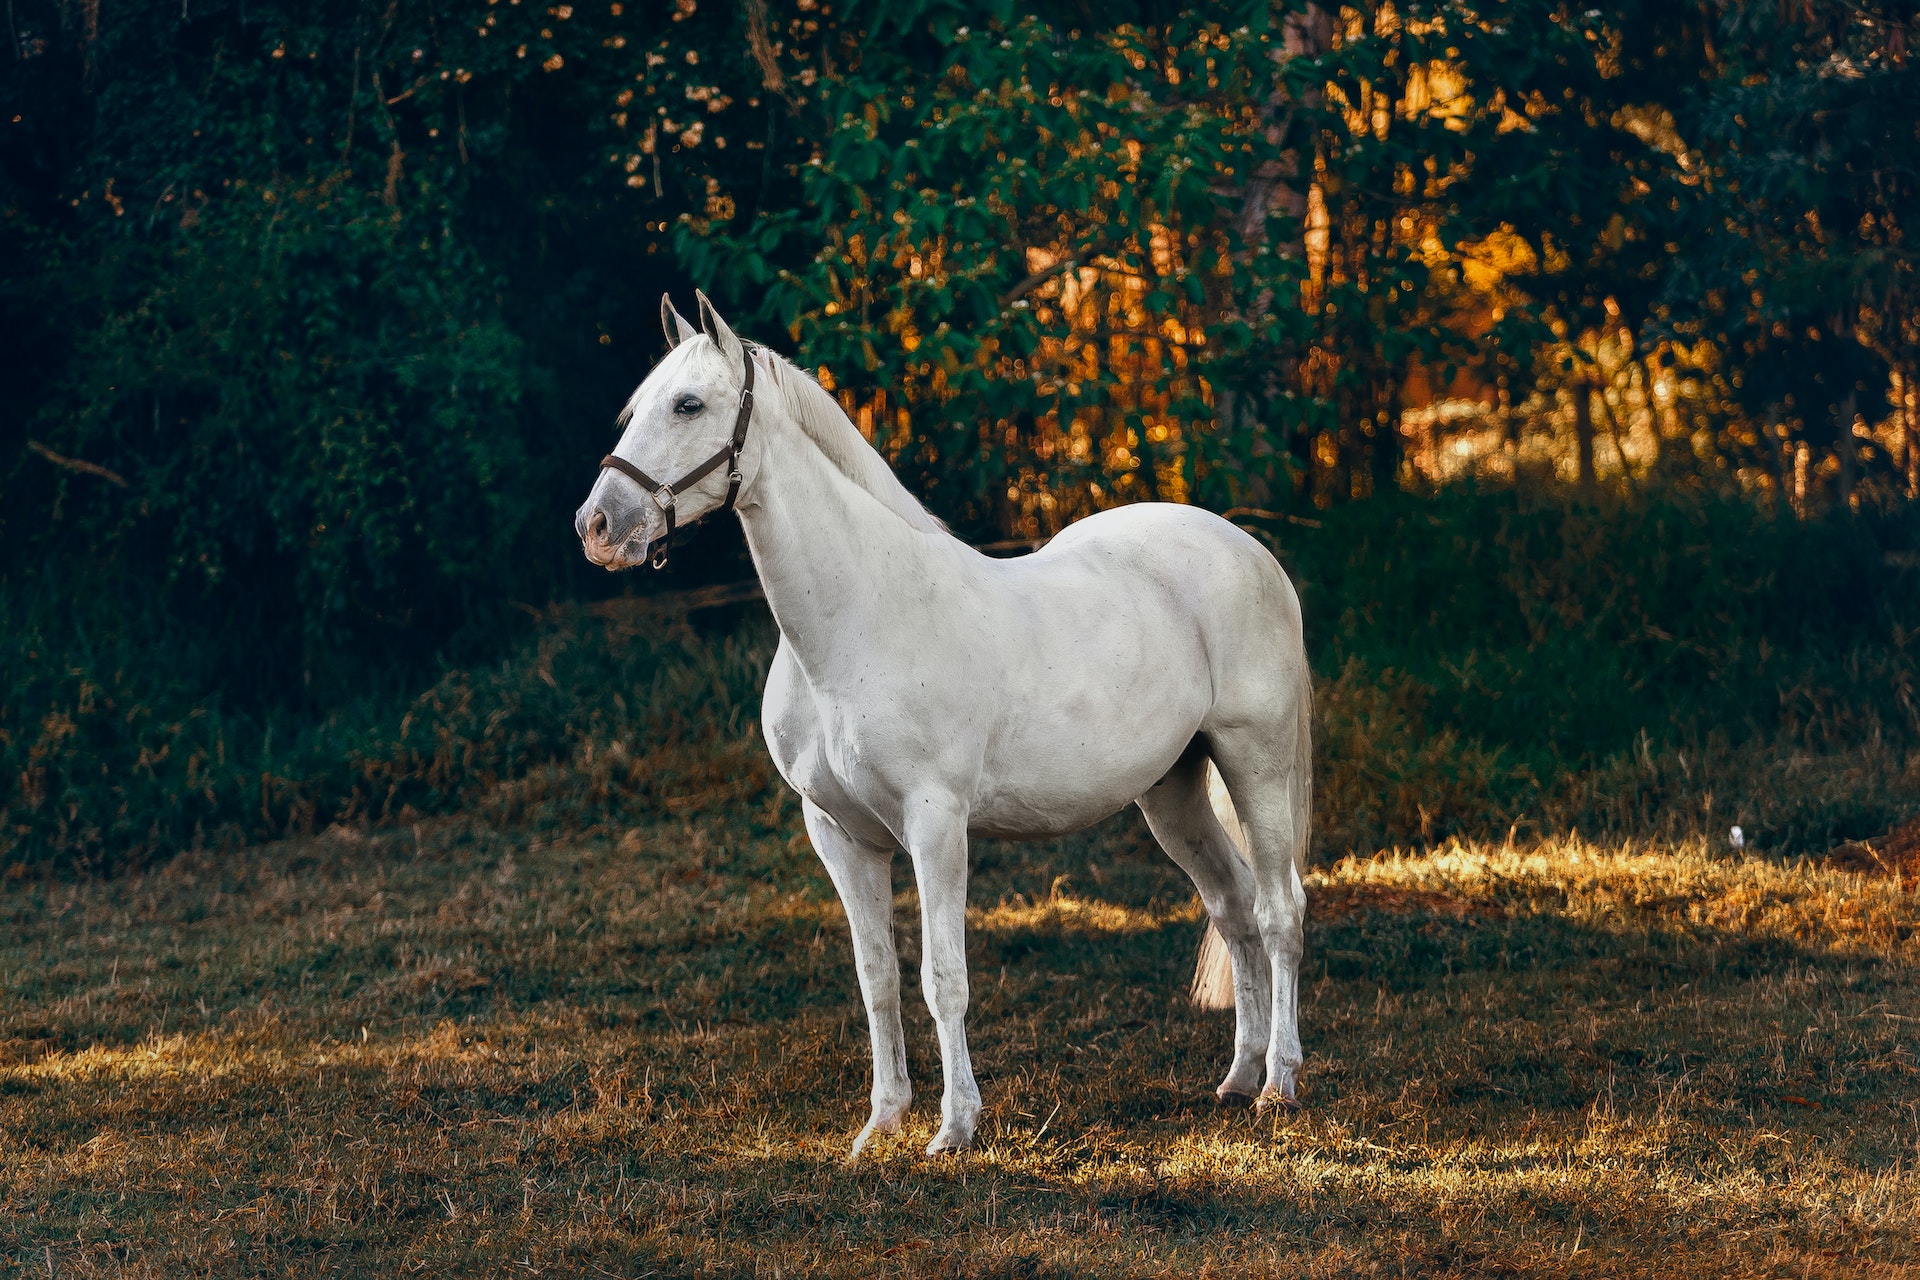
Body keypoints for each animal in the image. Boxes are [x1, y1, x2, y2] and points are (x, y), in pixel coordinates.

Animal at [575, 292, 1313, 1160]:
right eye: (636, 409)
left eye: (689, 404)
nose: (597, 526)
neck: (857, 620)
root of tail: (1249, 550)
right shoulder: (839, 835)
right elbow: (878, 980)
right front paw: (881, 1124)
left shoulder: (936, 824)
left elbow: (942, 978)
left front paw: (954, 1127)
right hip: (1171, 792)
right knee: (1232, 906)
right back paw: (1236, 1077)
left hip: (1254, 761)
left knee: (1278, 910)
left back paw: (1277, 1084)